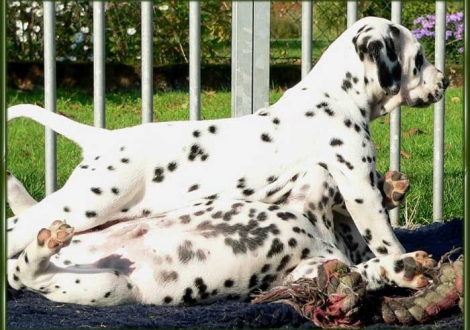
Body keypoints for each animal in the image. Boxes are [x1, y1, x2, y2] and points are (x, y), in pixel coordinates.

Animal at [7, 18, 448, 306]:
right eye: (420, 57)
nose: (445, 81)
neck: (332, 94)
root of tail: (105, 138)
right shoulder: (356, 184)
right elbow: (382, 236)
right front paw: (406, 261)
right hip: (87, 203)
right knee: (19, 237)